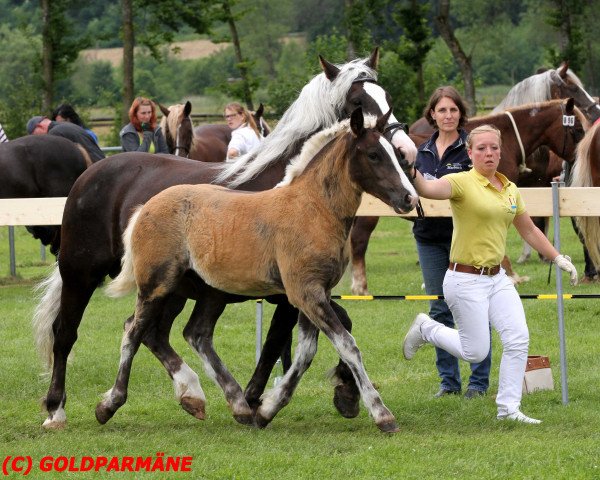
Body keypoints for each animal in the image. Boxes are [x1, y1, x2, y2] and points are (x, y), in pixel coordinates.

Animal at [99, 108, 418, 432]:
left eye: (396, 154)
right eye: (374, 154)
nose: (410, 198)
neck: (313, 208)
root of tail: (145, 208)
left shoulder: (315, 294)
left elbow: (305, 353)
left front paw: (267, 408)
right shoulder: (305, 293)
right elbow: (346, 345)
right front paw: (382, 414)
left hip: (207, 292)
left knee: (195, 334)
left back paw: (236, 405)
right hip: (157, 286)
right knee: (134, 332)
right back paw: (111, 404)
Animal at [350, 98, 588, 294]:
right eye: (577, 129)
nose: (579, 159)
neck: (508, 138)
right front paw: (511, 274)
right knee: (358, 241)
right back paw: (360, 288)